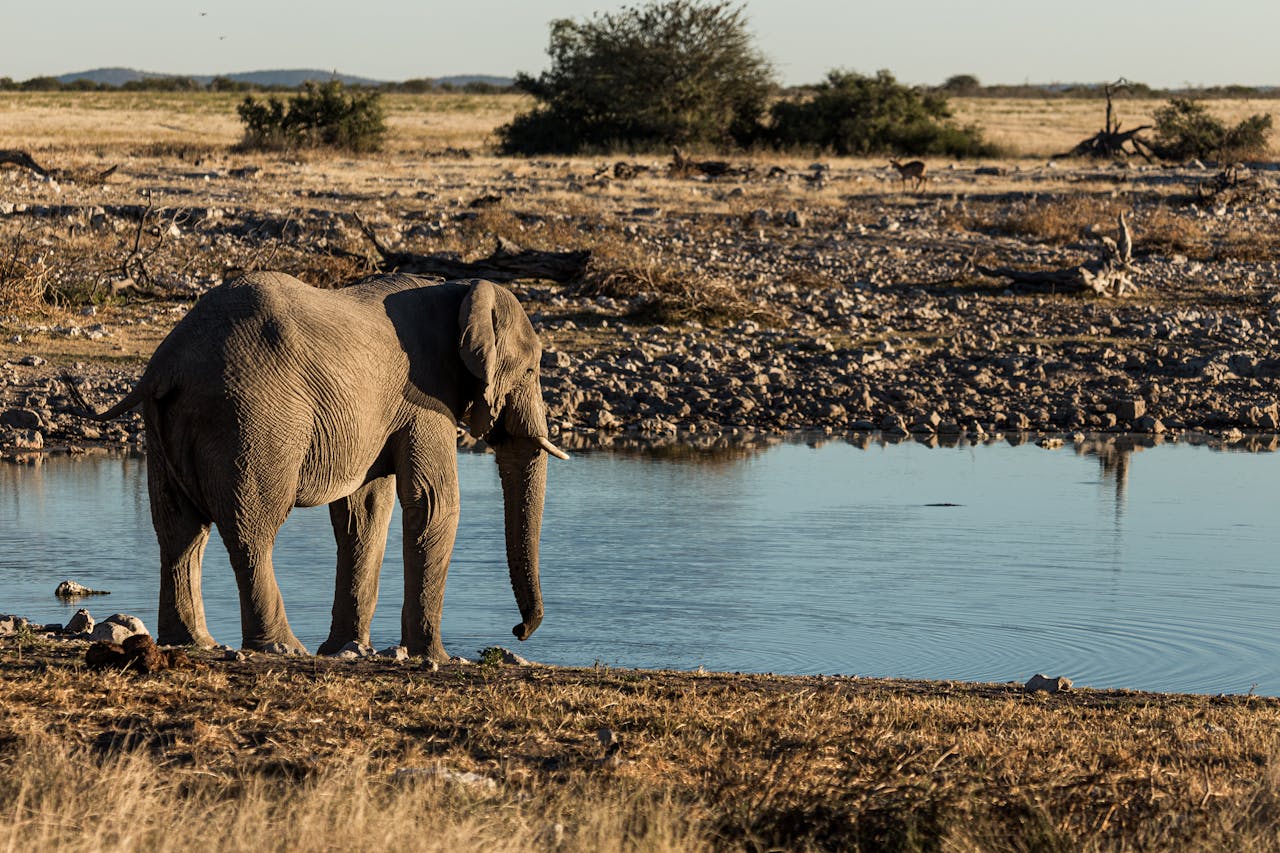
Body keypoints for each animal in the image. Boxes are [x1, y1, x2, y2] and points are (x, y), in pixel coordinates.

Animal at [74, 272, 568, 661]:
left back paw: (195, 643)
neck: (461, 288)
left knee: (179, 530)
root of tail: (165, 365)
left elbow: (364, 513)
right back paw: (282, 647)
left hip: (164, 428)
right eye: (531, 370)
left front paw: (346, 650)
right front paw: (436, 657)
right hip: (251, 419)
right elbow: (433, 503)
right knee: (252, 528)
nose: (519, 632)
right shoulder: (426, 397)